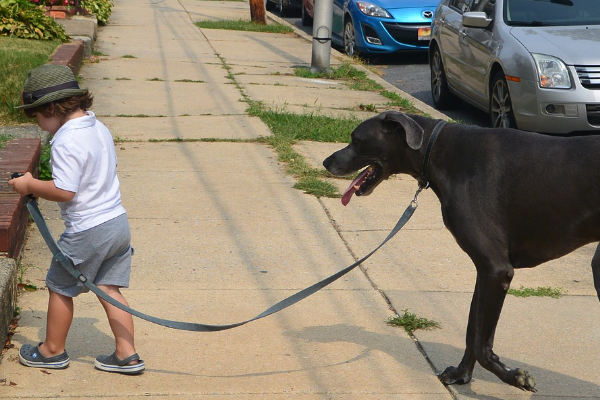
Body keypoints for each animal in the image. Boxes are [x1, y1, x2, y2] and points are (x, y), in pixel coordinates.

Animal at [324, 111, 600, 392]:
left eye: (356, 140)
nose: (327, 162)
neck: (438, 149)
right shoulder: (486, 271)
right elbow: (472, 333)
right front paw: (461, 373)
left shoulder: (496, 270)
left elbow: (481, 344)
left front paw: (514, 376)